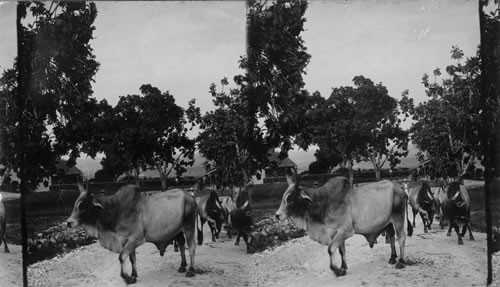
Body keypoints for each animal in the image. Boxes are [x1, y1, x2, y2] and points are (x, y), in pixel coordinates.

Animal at [66, 186, 199, 284]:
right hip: (178, 231)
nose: (69, 222)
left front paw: (127, 278)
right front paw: (133, 275)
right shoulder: (126, 240)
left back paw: (191, 270)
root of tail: (190, 196)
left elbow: (121, 257)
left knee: (192, 246)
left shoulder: (137, 239)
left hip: (189, 226)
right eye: (75, 204)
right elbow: (131, 258)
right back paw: (182, 266)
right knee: (181, 245)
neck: (116, 210)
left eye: (82, 206)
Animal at [276, 169, 412, 276]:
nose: (277, 215)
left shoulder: (346, 231)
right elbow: (341, 250)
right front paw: (343, 267)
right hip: (387, 222)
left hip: (398, 217)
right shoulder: (334, 233)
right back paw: (392, 258)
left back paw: (400, 261)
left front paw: (336, 270)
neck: (324, 203)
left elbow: (331, 249)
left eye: (290, 197)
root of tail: (399, 187)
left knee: (401, 237)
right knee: (391, 236)